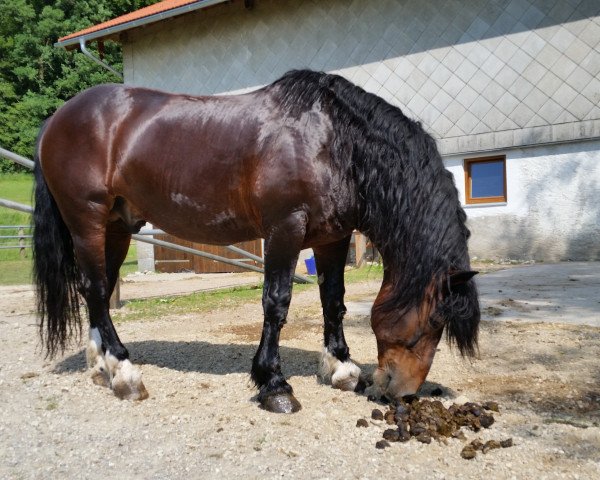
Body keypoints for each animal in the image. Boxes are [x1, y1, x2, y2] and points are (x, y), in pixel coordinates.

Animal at [34, 70, 478, 412]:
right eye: (433, 321)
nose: (400, 393)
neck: (332, 142)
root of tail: (56, 119)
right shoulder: (284, 229)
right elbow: (276, 303)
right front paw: (274, 384)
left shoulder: (333, 237)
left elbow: (333, 300)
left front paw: (341, 368)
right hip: (87, 220)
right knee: (94, 288)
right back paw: (124, 373)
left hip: (116, 226)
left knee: (98, 289)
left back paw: (101, 367)